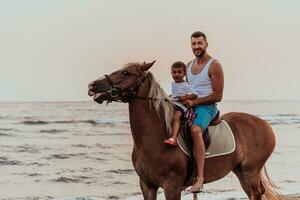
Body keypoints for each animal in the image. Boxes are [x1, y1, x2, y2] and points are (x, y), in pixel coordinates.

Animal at [87, 61, 282, 199]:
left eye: (125, 73)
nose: (92, 85)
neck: (154, 137)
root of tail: (264, 124)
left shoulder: (172, 186)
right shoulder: (147, 185)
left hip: (250, 171)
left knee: (256, 193)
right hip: (240, 171)